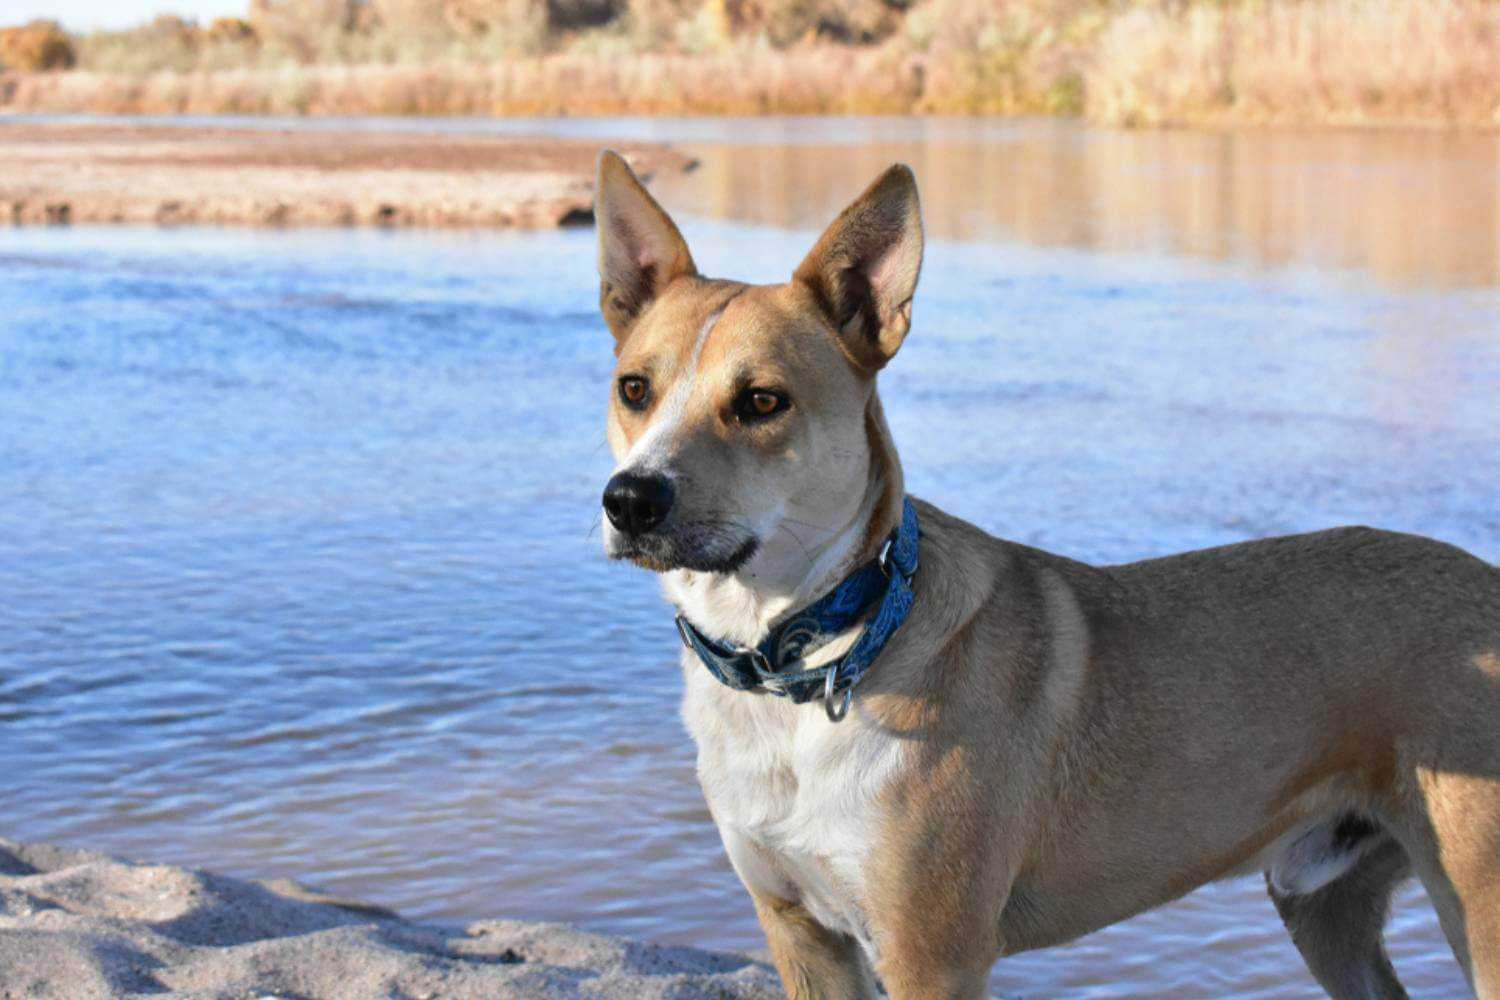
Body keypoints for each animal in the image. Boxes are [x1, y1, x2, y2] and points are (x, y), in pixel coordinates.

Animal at [585, 150, 1500, 1000]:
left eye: (763, 402)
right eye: (634, 388)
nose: (630, 499)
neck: (817, 652)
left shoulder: (933, 956)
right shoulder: (802, 935)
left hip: (1476, 908)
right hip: (1322, 903)